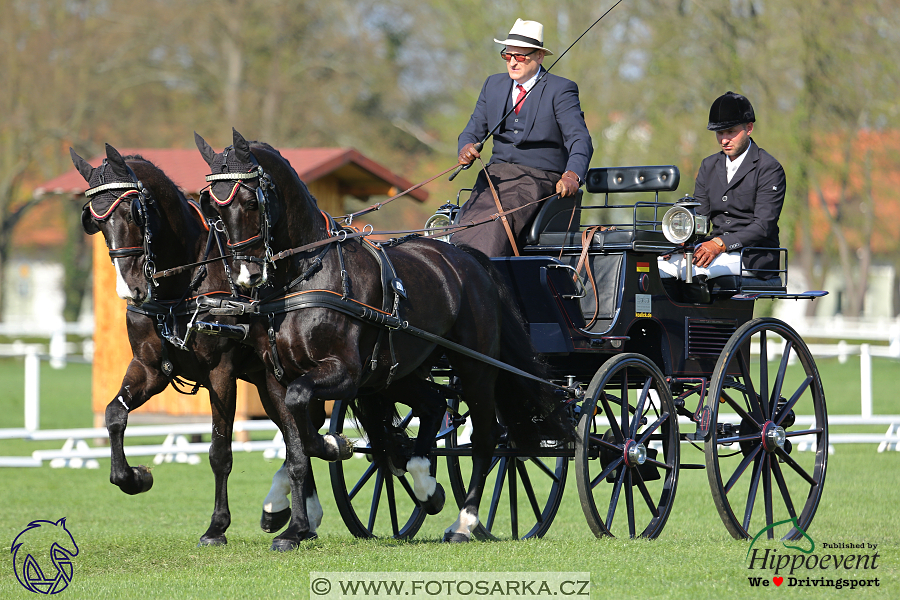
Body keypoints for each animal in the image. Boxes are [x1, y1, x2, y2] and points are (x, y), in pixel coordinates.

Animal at [72, 144, 324, 548]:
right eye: (96, 220)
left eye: (134, 212)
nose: (130, 289)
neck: (186, 280)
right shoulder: (149, 369)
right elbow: (113, 415)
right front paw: (135, 477)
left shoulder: (221, 373)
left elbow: (220, 451)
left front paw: (217, 527)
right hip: (269, 385)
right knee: (294, 436)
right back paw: (298, 516)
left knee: (300, 436)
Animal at [195, 129, 576, 540]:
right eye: (214, 212)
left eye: (251, 202)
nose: (245, 276)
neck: (306, 276)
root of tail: (469, 258)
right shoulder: (277, 379)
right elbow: (296, 451)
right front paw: (294, 530)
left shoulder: (343, 373)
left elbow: (305, 421)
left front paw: (335, 446)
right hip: (397, 372)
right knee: (433, 404)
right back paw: (425, 484)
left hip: (474, 368)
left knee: (486, 438)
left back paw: (465, 520)